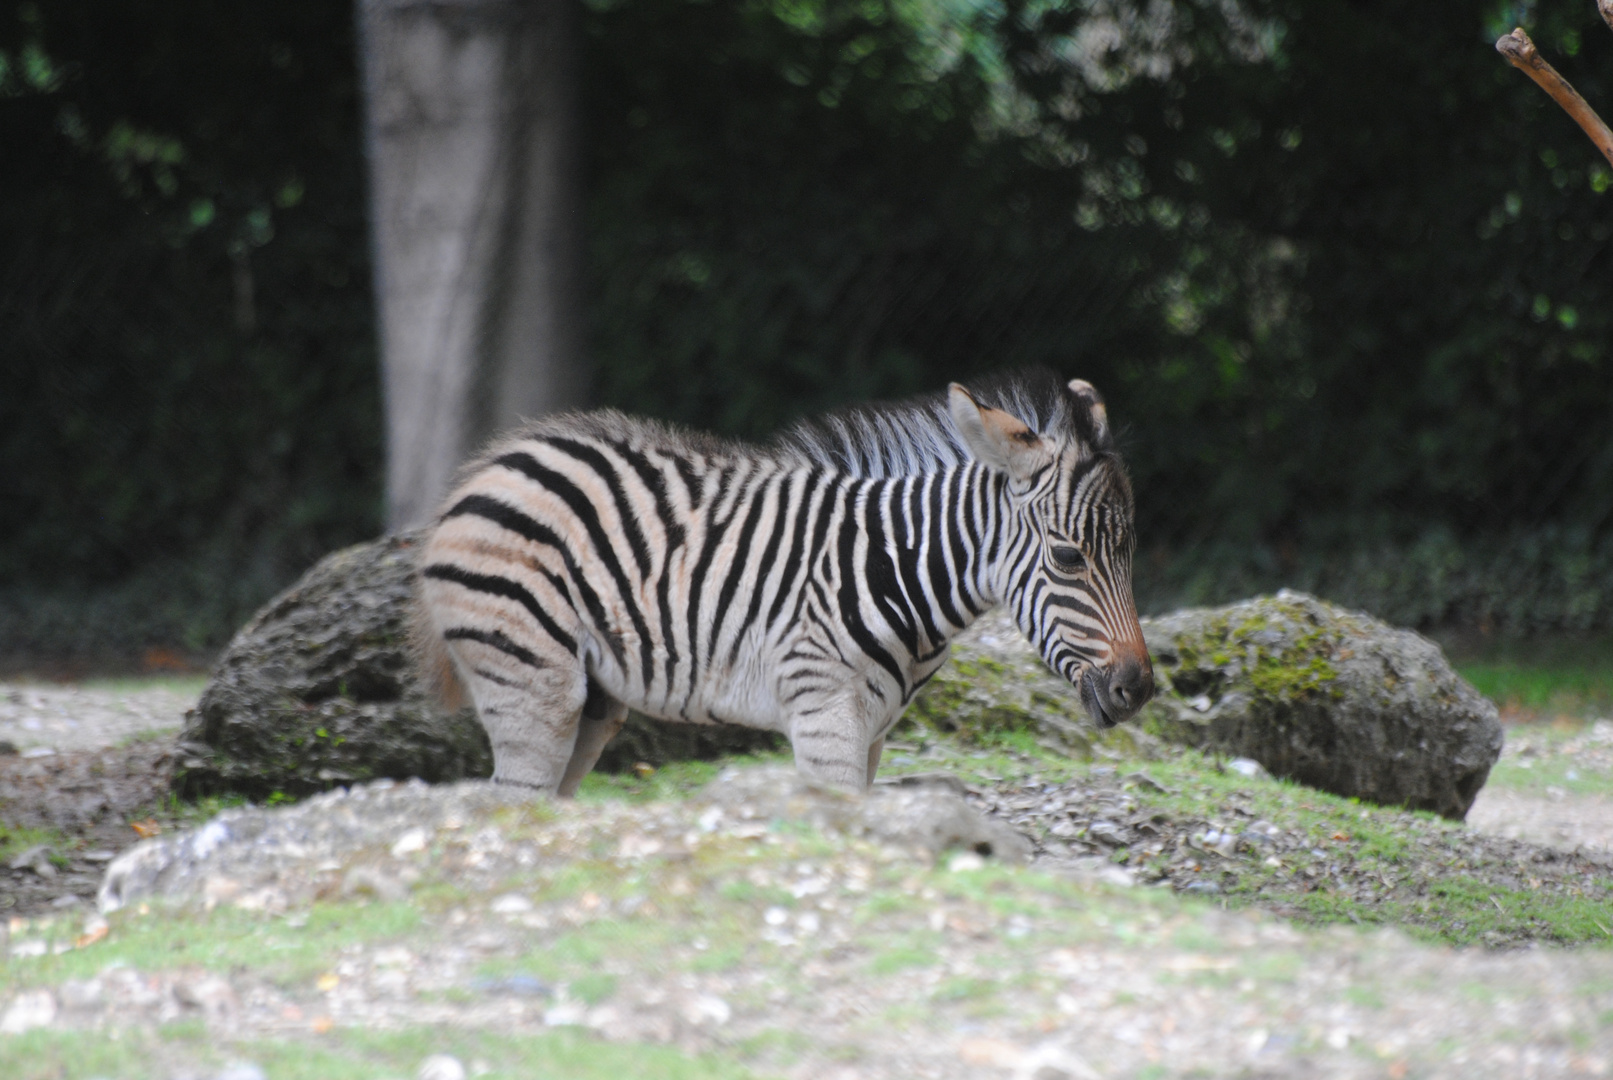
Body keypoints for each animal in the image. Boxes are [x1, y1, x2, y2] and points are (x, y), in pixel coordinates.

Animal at [412, 370, 1148, 796]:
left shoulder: (874, 732)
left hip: (593, 703)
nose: (1137, 689)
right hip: (535, 681)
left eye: (1128, 551)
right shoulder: (825, 716)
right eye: (1067, 557)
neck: (899, 571)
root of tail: (494, 462)